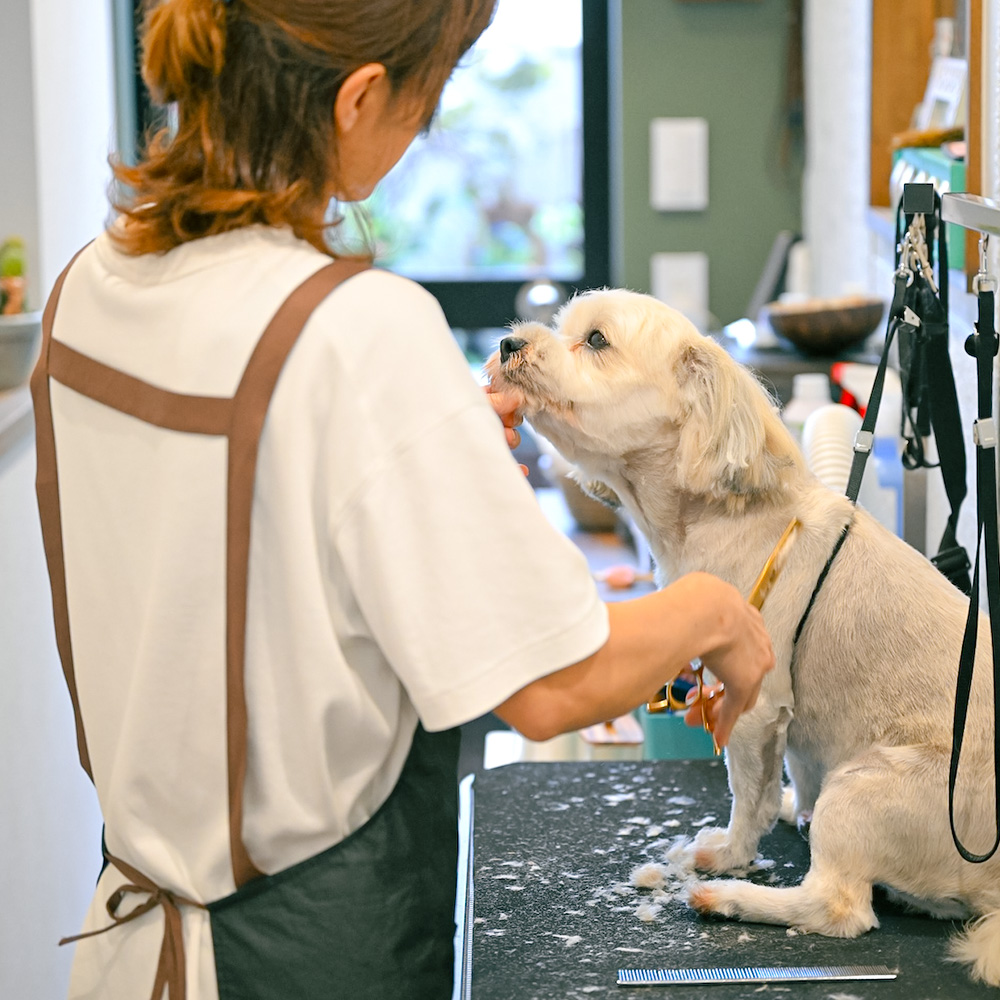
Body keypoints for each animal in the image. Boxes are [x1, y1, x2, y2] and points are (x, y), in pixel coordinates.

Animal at [486, 288, 1000, 984]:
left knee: (838, 906)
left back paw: (728, 897)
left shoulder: (754, 705)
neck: (711, 514)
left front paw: (731, 852)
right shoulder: (790, 726)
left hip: (866, 787)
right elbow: (780, 775)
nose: (509, 343)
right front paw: (777, 807)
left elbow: (743, 792)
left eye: (595, 341)